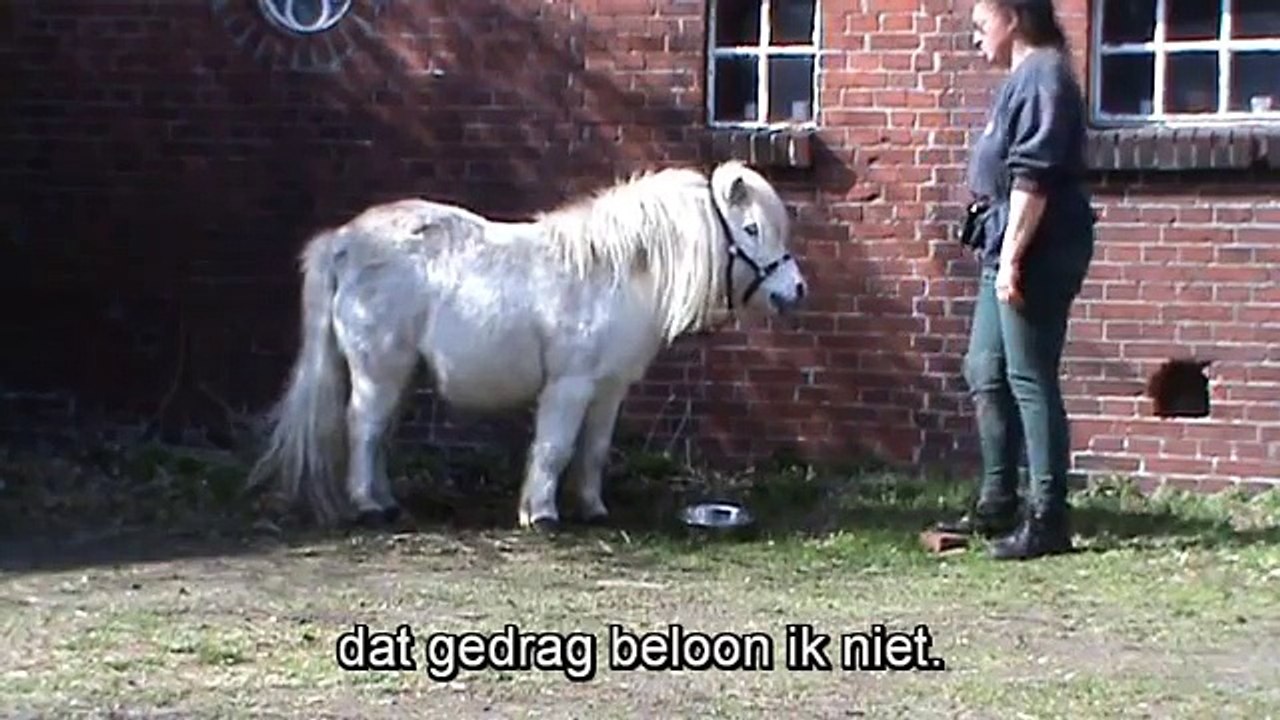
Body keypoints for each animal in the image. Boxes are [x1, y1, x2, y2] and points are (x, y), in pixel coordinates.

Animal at [245, 160, 808, 532]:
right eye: (751, 228)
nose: (796, 290)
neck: (615, 272)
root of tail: (342, 243)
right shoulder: (569, 386)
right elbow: (555, 448)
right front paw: (540, 514)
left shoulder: (608, 390)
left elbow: (593, 450)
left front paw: (592, 508)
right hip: (377, 371)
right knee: (363, 429)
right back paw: (369, 506)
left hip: (398, 375)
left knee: (378, 436)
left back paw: (384, 500)